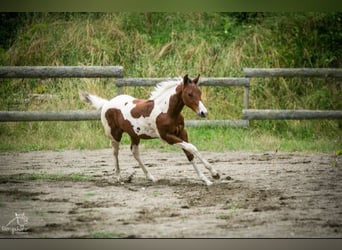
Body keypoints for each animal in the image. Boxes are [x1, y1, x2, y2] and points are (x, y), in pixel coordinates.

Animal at [79, 74, 220, 186]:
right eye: (189, 94)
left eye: (200, 93)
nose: (203, 113)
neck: (167, 112)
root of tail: (106, 103)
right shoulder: (167, 137)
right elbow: (192, 148)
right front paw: (214, 173)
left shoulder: (182, 133)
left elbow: (189, 154)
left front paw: (206, 180)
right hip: (115, 135)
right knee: (115, 153)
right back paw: (119, 177)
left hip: (134, 135)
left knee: (135, 153)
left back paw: (151, 177)